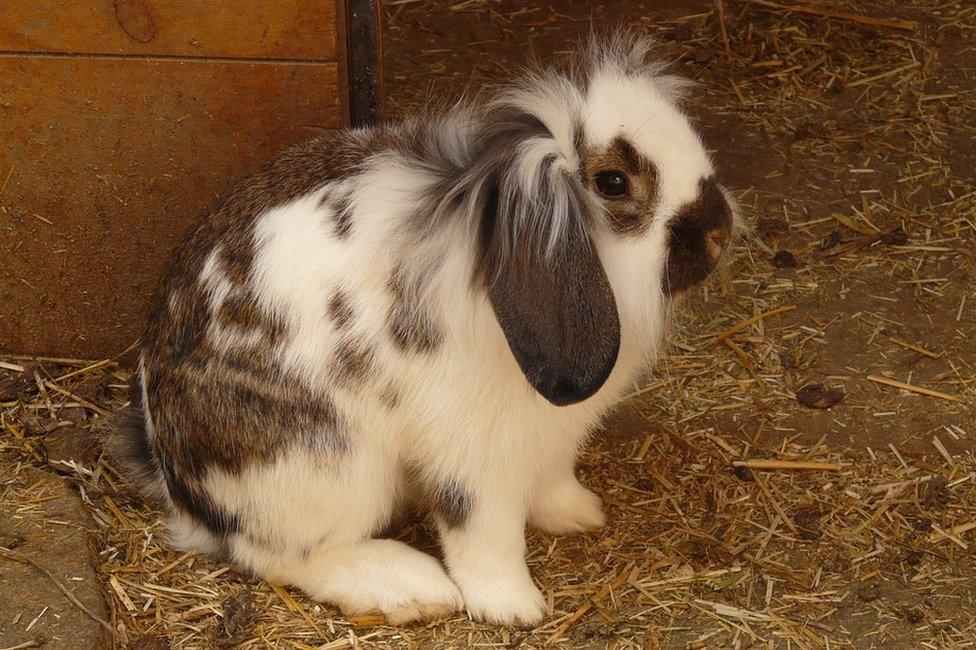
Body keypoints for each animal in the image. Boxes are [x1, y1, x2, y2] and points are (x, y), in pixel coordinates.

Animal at [110, 33, 736, 624]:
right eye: (612, 183)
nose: (719, 231)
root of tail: (178, 483)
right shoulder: (475, 456)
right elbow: (484, 534)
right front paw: (513, 606)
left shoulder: (546, 435)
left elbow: (550, 479)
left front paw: (579, 512)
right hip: (329, 464)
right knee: (284, 555)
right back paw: (411, 587)